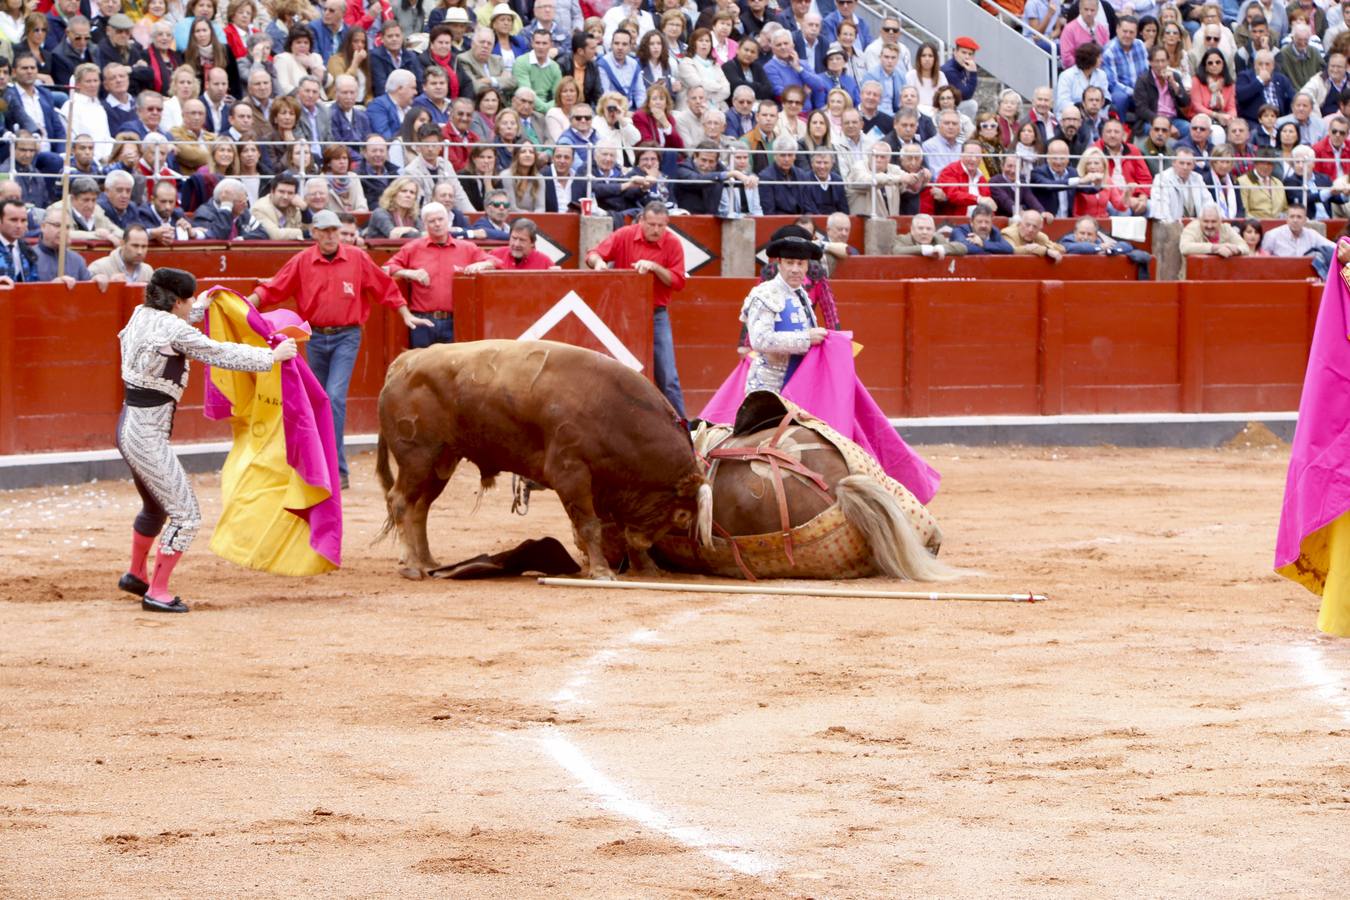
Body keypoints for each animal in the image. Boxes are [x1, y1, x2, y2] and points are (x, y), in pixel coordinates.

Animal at [375, 337, 712, 577]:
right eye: (683, 516)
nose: (646, 542)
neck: (617, 413)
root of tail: (403, 362)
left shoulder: (608, 484)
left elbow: (612, 524)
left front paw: (646, 566)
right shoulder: (571, 473)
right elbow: (589, 524)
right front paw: (602, 571)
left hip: (441, 462)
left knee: (421, 507)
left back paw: (427, 560)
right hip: (417, 458)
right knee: (400, 501)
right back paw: (412, 566)